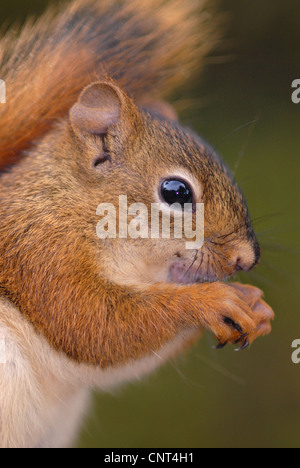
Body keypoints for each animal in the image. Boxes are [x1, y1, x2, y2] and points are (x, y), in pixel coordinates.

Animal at [0, 0, 274, 448]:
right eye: (176, 192)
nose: (246, 259)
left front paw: (255, 304)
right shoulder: (39, 247)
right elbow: (89, 320)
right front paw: (211, 300)